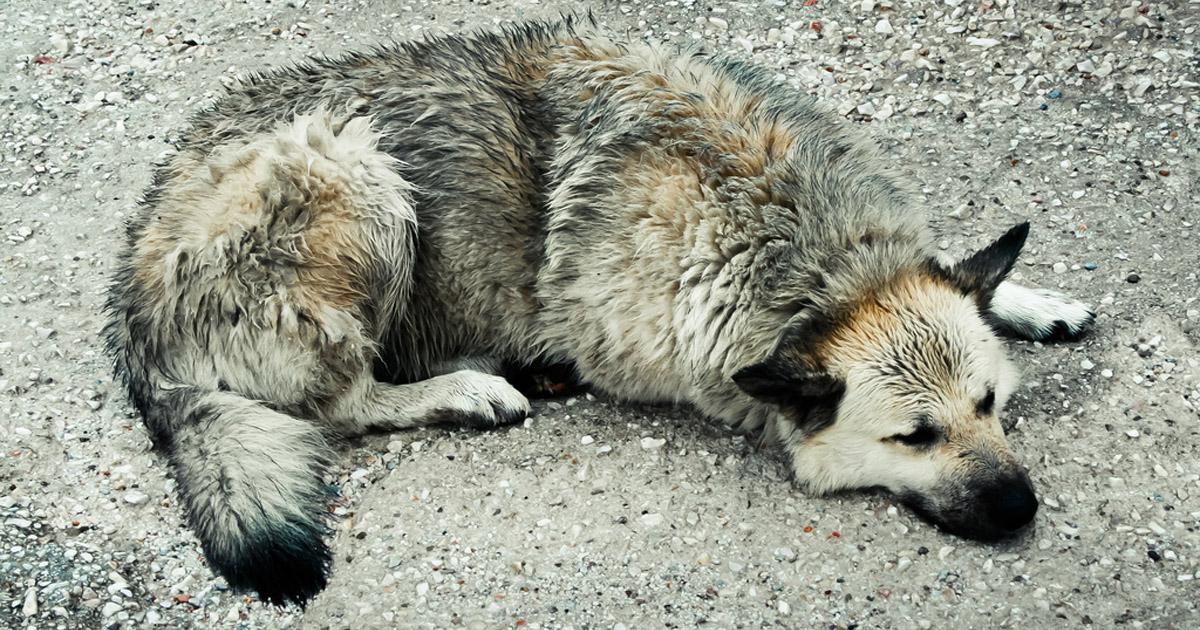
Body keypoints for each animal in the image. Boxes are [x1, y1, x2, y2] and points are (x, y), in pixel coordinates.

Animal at [105, 15, 1099, 604]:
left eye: (990, 406)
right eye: (913, 438)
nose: (1022, 507)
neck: (824, 270)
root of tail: (131, 304)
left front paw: (1034, 299)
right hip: (355, 171)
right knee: (342, 402)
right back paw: (465, 388)